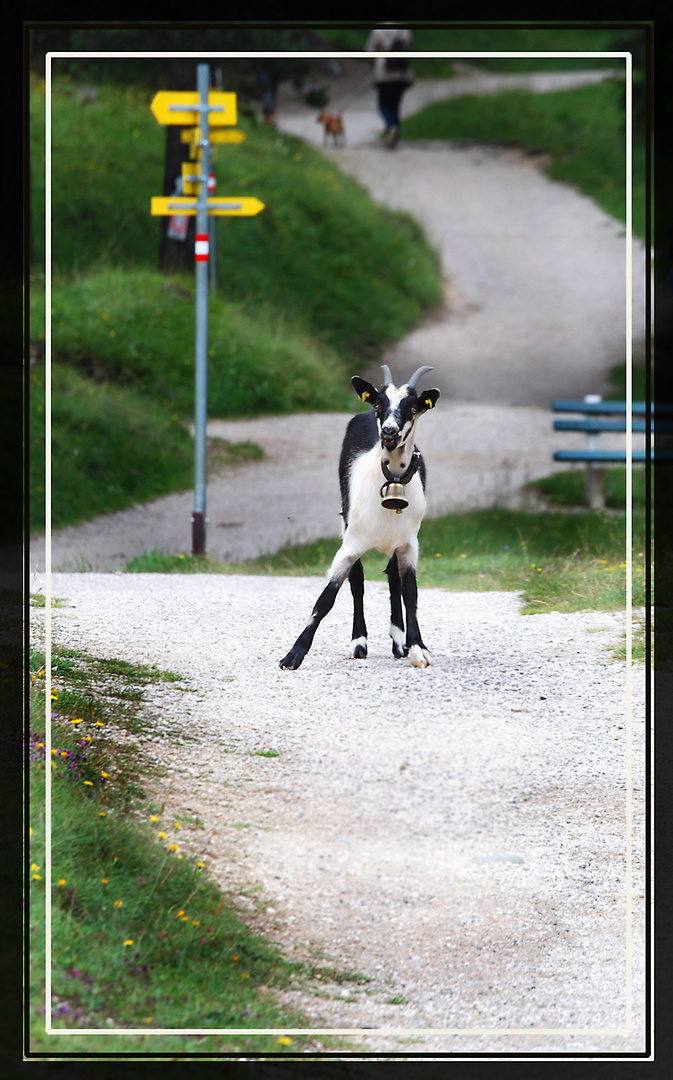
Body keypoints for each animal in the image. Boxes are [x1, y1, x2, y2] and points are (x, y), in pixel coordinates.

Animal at [278, 362, 440, 665]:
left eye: (412, 407)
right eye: (379, 404)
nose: (388, 432)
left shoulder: (409, 544)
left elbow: (410, 593)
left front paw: (417, 648)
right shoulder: (350, 543)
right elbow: (328, 597)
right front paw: (293, 655)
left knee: (393, 579)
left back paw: (398, 642)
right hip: (347, 522)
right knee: (358, 581)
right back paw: (359, 642)